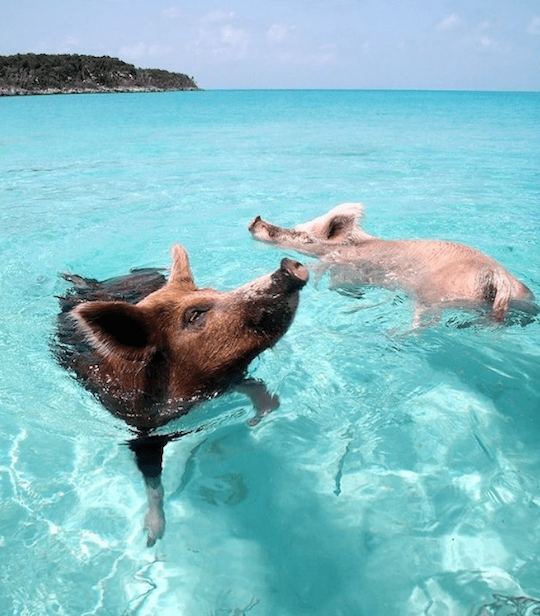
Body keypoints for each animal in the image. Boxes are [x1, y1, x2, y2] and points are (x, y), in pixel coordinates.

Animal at [56, 245, 308, 544]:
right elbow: (152, 479)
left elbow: (255, 388)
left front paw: (257, 419)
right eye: (195, 315)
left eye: (214, 291)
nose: (289, 266)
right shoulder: (142, 431)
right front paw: (153, 537)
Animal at [249, 203, 536, 328]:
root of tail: (497, 276)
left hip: (434, 294)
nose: (255, 220)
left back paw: (393, 335)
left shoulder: (346, 268)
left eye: (301, 233)